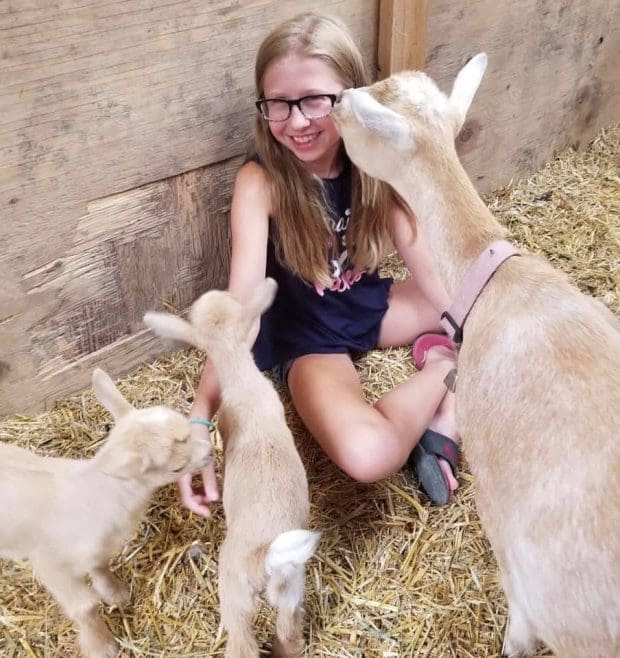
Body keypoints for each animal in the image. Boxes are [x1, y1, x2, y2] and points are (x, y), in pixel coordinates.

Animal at [0, 368, 213, 658]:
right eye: (177, 468)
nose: (210, 452)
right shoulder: (50, 564)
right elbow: (85, 606)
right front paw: (101, 646)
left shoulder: (97, 547)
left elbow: (100, 564)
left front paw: (115, 593)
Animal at [144, 277, 320, 658]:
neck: (244, 380)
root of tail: (264, 558)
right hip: (292, 587)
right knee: (289, 634)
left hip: (235, 597)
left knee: (242, 644)